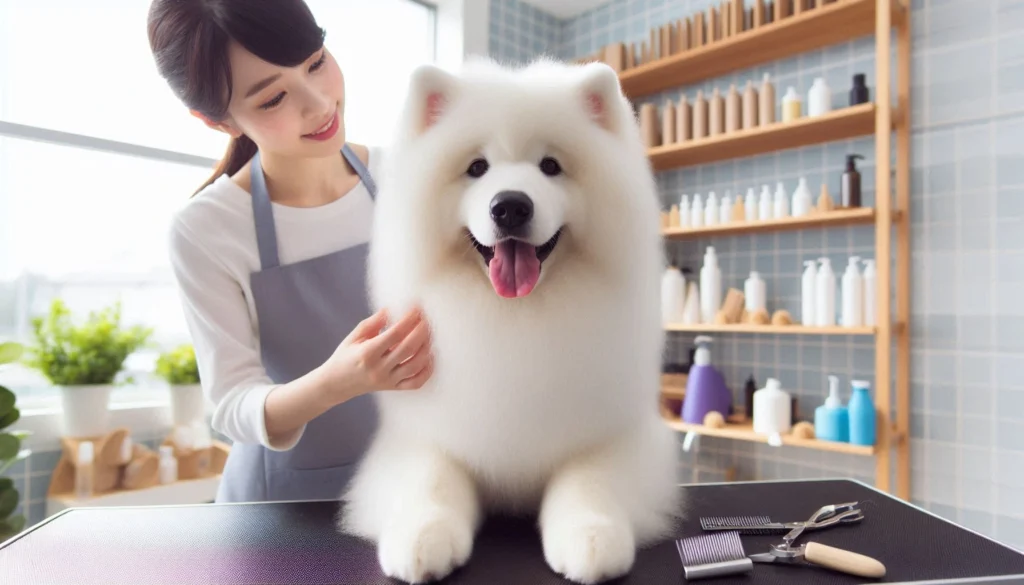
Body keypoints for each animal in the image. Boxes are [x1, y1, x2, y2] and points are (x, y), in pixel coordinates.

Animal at [339, 56, 684, 585]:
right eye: (476, 168)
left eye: (551, 166)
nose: (510, 206)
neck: (515, 318)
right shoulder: (424, 435)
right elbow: (430, 480)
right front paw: (421, 536)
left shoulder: (614, 435)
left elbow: (590, 480)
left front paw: (592, 536)